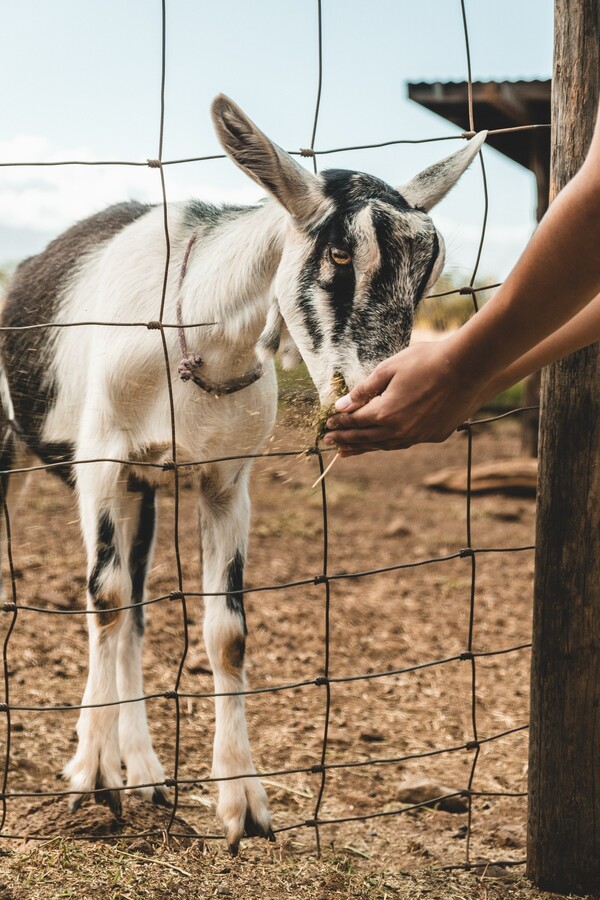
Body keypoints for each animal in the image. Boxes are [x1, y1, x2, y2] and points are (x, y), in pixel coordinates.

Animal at [0, 96, 486, 852]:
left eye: (426, 275)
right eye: (340, 253)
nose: (379, 389)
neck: (196, 339)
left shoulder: (227, 482)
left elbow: (224, 633)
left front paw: (243, 806)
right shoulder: (102, 459)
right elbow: (103, 600)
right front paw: (90, 778)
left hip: (144, 490)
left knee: (135, 611)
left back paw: (144, 770)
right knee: (109, 601)